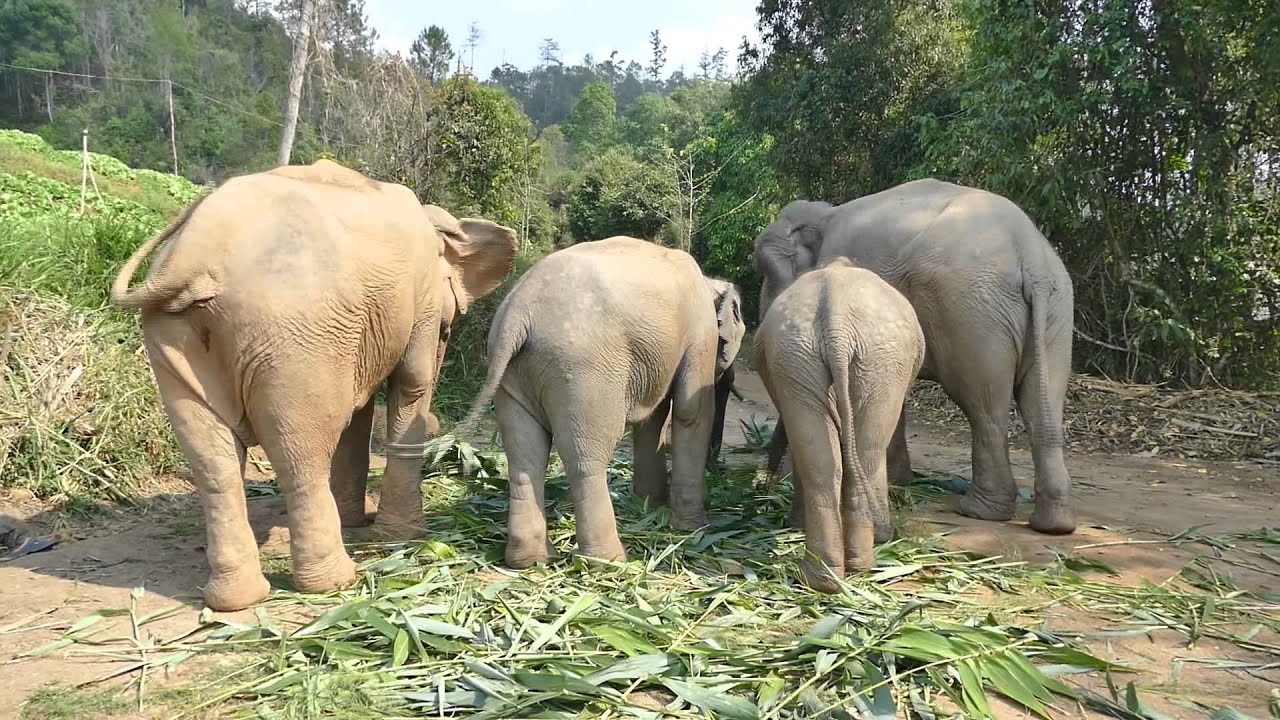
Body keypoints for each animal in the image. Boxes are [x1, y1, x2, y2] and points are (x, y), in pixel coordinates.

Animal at [110, 159, 518, 611]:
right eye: (448, 327)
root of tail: (194, 255)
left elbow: (360, 410)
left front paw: (360, 520)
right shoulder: (421, 295)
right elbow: (412, 383)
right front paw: (401, 536)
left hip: (172, 335)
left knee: (213, 462)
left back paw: (236, 600)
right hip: (292, 336)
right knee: (299, 452)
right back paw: (334, 581)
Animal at [454, 236, 745, 568]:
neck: (709, 281)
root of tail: (518, 313)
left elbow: (653, 419)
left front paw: (649, 504)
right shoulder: (700, 330)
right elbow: (690, 411)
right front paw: (693, 529)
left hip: (514, 372)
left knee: (524, 455)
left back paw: (531, 560)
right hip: (583, 371)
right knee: (586, 458)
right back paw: (609, 561)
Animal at [750, 178, 1076, 535]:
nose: (763, 483)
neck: (824, 215)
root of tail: (1030, 257)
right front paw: (901, 483)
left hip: (971, 314)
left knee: (983, 407)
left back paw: (977, 511)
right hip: (1053, 311)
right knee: (1042, 402)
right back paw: (1053, 524)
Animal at [755, 257, 925, 591]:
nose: (763, 483)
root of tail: (837, 324)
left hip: (836, 359)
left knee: (833, 460)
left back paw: (834, 575)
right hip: (838, 359)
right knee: (861, 455)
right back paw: (841, 571)